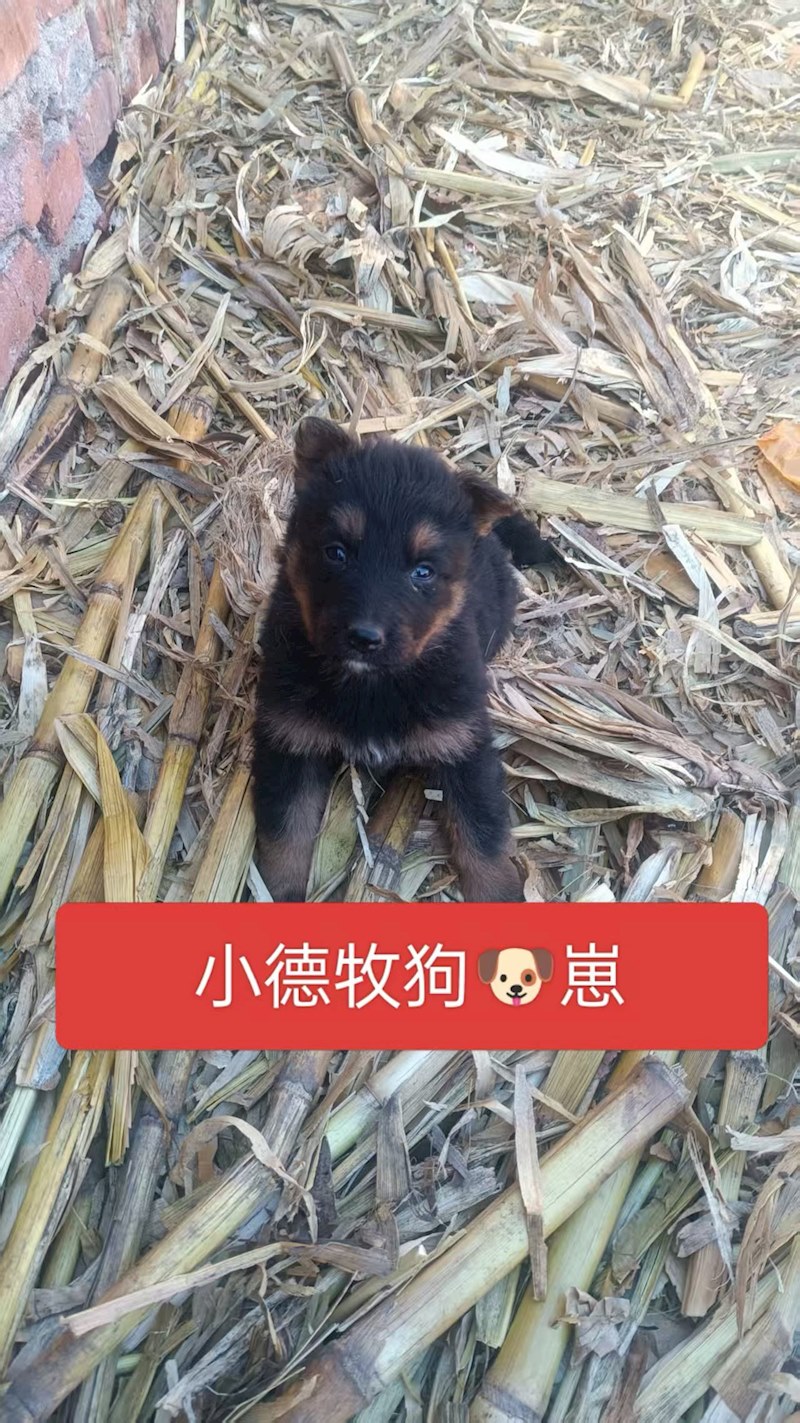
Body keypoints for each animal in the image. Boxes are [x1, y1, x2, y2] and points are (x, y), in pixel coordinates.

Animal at [252, 417, 559, 902]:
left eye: (422, 572)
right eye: (336, 552)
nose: (364, 638)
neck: (372, 684)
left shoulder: (464, 744)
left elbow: (483, 836)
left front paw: (498, 895)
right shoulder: (289, 740)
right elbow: (287, 834)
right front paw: (280, 893)